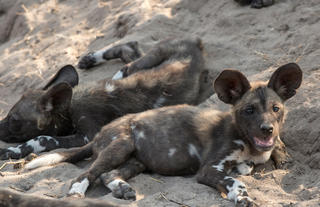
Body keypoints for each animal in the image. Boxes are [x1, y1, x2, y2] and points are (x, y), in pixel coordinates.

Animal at [0, 36, 210, 160]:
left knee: (128, 58)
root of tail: (196, 42)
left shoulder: (87, 136)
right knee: (128, 51)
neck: (69, 109)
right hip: (144, 62)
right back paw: (92, 60)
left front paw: (12, 151)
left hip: (147, 61)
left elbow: (43, 139)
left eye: (14, 119)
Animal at [23, 62, 302, 205]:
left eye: (275, 109)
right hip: (121, 145)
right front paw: (241, 196)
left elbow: (244, 170)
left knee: (108, 174)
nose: (267, 129)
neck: (249, 147)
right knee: (86, 174)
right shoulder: (209, 169)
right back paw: (77, 193)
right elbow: (236, 180)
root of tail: (100, 133)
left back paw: (123, 189)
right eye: (249, 110)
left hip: (136, 161)